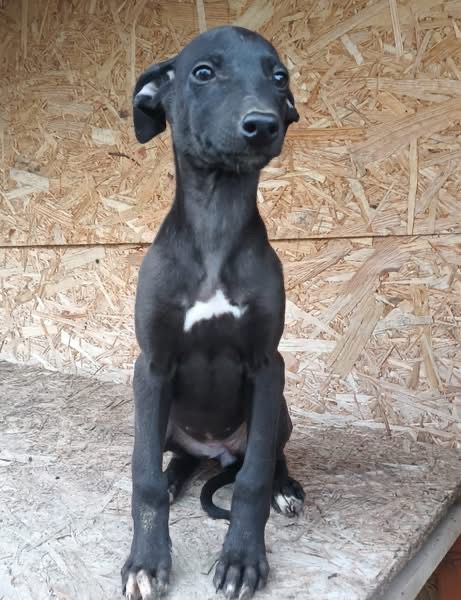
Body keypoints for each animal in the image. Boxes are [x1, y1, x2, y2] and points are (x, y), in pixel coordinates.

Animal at [122, 25, 305, 600]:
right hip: (158, 418)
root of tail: (216, 451)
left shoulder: (269, 366)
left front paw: (243, 560)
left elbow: (251, 481)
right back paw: (177, 478)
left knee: (264, 459)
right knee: (174, 459)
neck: (216, 224)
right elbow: (143, 479)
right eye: (203, 72)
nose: (263, 124)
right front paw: (146, 562)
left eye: (279, 76)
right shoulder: (152, 366)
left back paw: (285, 489)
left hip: (279, 412)